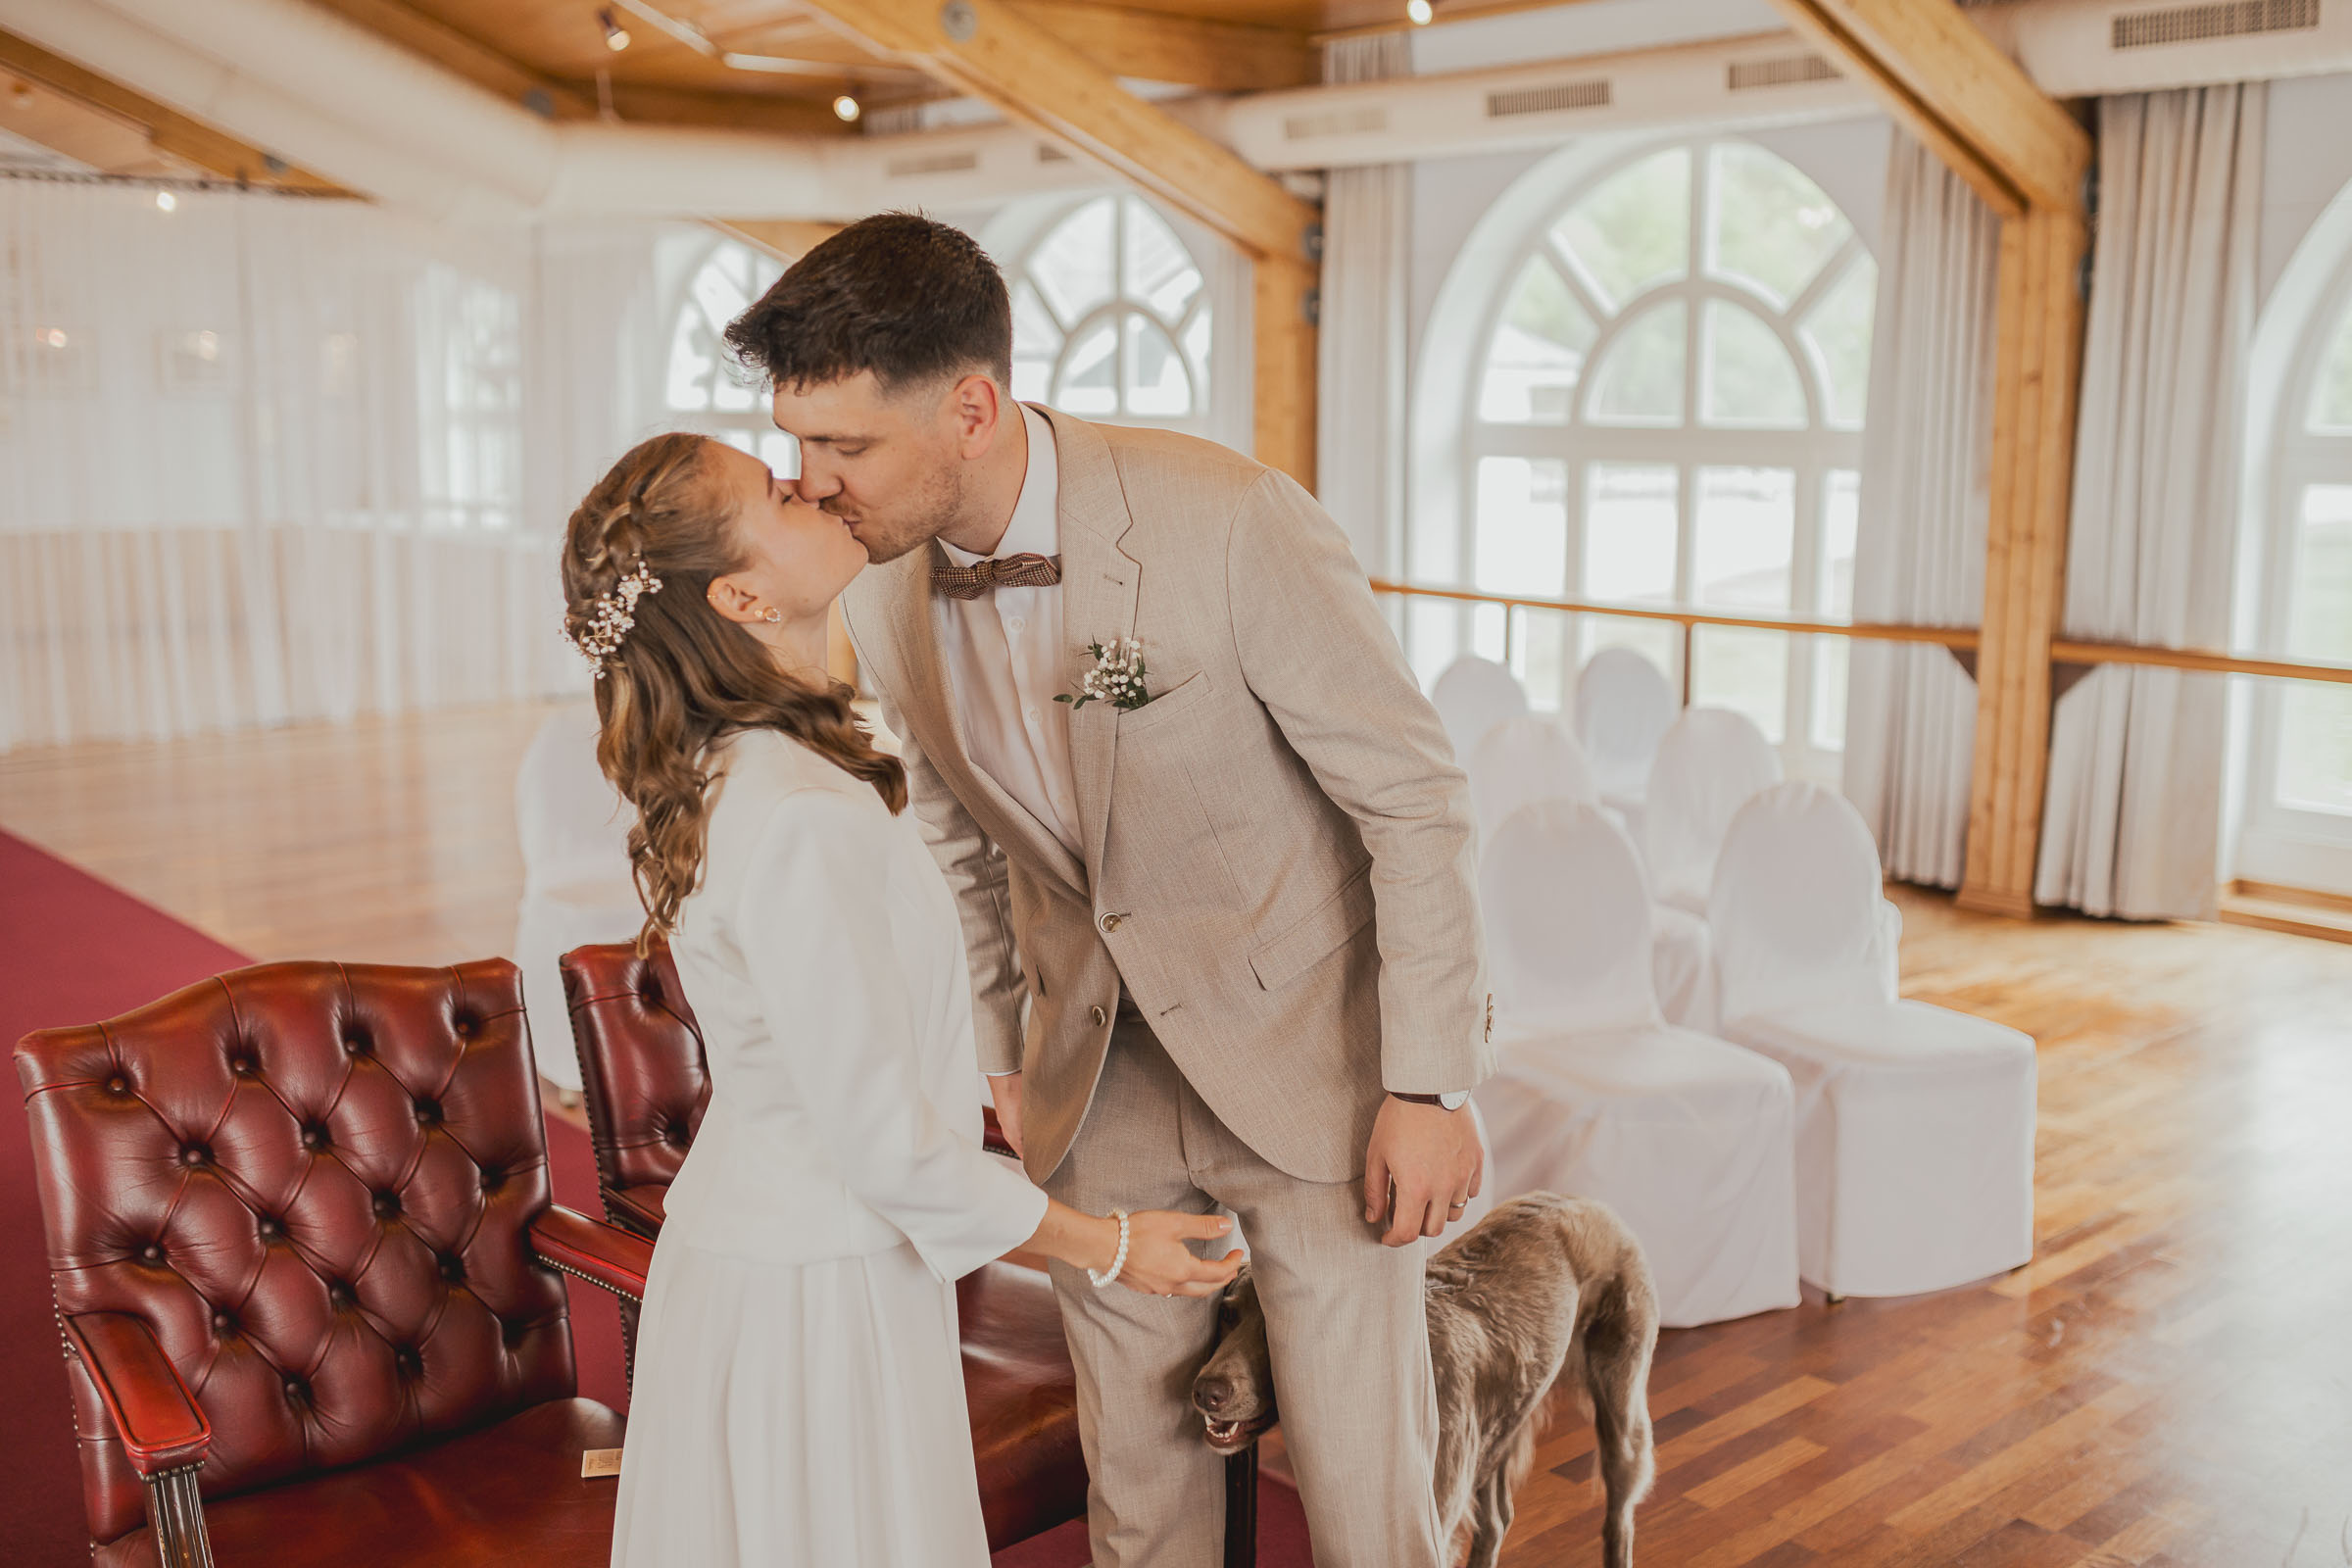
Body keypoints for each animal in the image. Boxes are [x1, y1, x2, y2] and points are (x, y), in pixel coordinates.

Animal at [1195, 1189, 1655, 1568]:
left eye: (1276, 1333)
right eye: (1227, 1314)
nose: (1205, 1392)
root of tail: (1585, 1200)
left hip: (1620, 1408)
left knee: (1618, 1518)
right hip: (1501, 1424)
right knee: (1496, 1521)